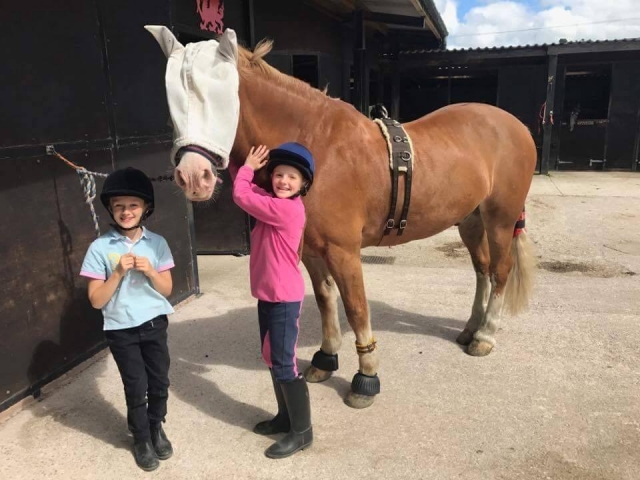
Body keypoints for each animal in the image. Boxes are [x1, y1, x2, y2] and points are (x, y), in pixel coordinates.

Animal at [145, 27, 537, 409]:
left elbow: (356, 308)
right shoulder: (311, 250)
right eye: (173, 100)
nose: (193, 177)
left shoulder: (343, 250)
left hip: (500, 218)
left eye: (221, 98)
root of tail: (515, 125)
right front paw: (325, 358)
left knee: (500, 270)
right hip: (471, 219)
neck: (313, 147)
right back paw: (471, 328)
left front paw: (366, 378)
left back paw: (485, 335)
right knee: (482, 269)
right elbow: (325, 300)